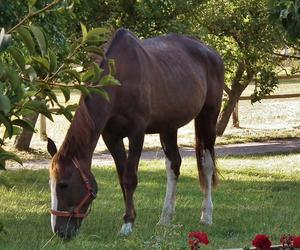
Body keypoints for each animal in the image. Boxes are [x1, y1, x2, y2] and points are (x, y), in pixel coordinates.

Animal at [48, 27, 224, 238]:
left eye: (63, 184)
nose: (59, 231)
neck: (120, 78)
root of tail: (210, 52)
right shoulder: (111, 137)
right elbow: (122, 178)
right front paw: (129, 218)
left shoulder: (136, 133)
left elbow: (130, 178)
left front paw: (127, 225)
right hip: (168, 127)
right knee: (174, 165)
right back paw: (165, 218)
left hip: (208, 118)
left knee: (207, 164)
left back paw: (207, 215)